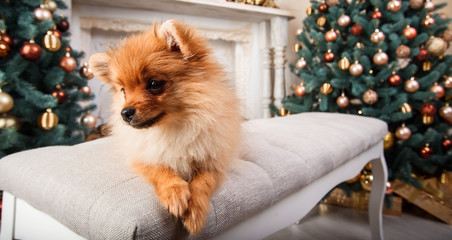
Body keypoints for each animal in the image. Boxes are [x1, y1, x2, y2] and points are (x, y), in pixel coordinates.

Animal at [89, 20, 242, 234]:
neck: (172, 127)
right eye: (123, 91)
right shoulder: (144, 157)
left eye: (154, 84)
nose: (125, 113)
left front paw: (195, 211)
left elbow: (203, 181)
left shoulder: (214, 160)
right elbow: (160, 170)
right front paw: (175, 192)